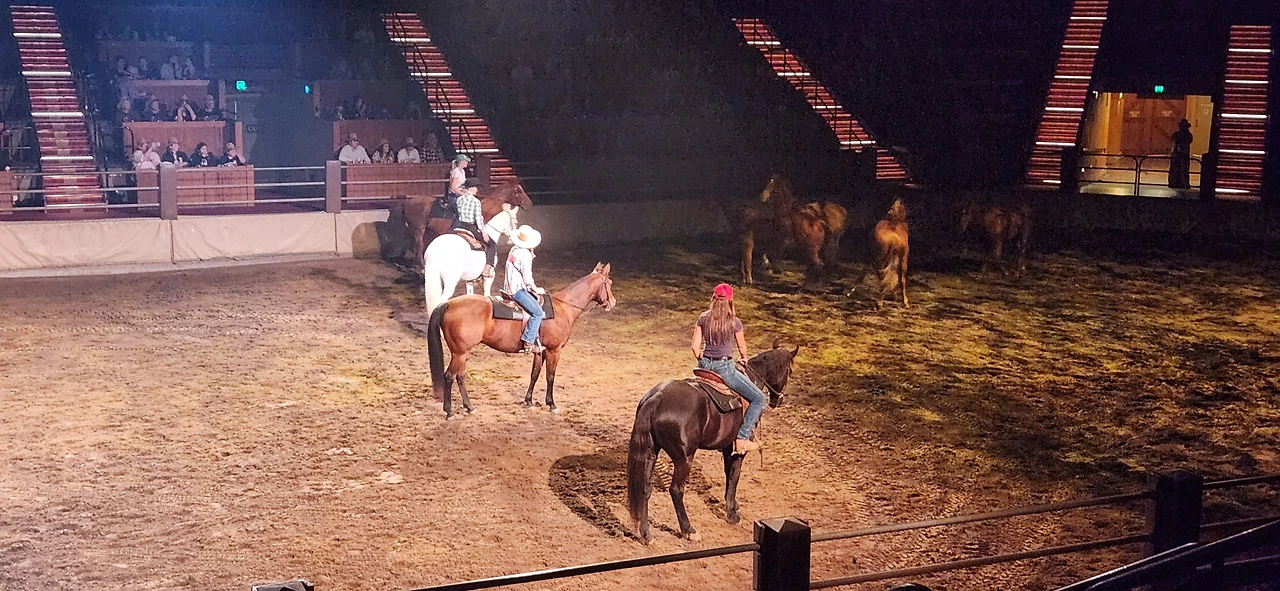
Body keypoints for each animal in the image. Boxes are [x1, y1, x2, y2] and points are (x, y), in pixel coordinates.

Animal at [402, 180, 534, 272]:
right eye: (519, 191)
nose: (530, 204)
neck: (484, 208)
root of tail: (409, 201)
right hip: (419, 230)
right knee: (419, 247)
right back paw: (422, 268)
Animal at [426, 263, 616, 418]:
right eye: (609, 283)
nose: (612, 302)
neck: (563, 308)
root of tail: (448, 304)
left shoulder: (540, 351)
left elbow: (535, 374)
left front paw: (529, 401)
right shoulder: (554, 350)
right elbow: (550, 376)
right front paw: (552, 404)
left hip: (462, 353)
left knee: (460, 376)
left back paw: (469, 407)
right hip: (459, 353)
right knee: (449, 377)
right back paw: (449, 412)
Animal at [626, 342, 799, 544]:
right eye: (789, 371)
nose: (778, 400)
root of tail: (656, 398)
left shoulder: (727, 448)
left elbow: (728, 474)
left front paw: (733, 504)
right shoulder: (738, 449)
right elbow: (735, 476)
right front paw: (732, 514)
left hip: (651, 452)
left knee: (645, 488)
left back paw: (646, 534)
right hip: (684, 458)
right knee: (676, 490)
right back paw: (689, 530)